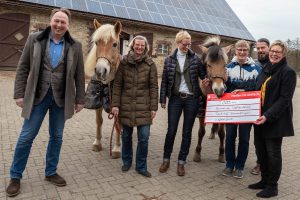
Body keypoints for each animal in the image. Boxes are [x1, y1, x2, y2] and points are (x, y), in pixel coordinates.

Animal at [84, 19, 122, 159]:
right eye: (96, 43)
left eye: (115, 44)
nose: (100, 70)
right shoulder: (97, 101)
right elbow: (99, 121)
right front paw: (97, 143)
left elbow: (117, 125)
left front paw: (117, 148)